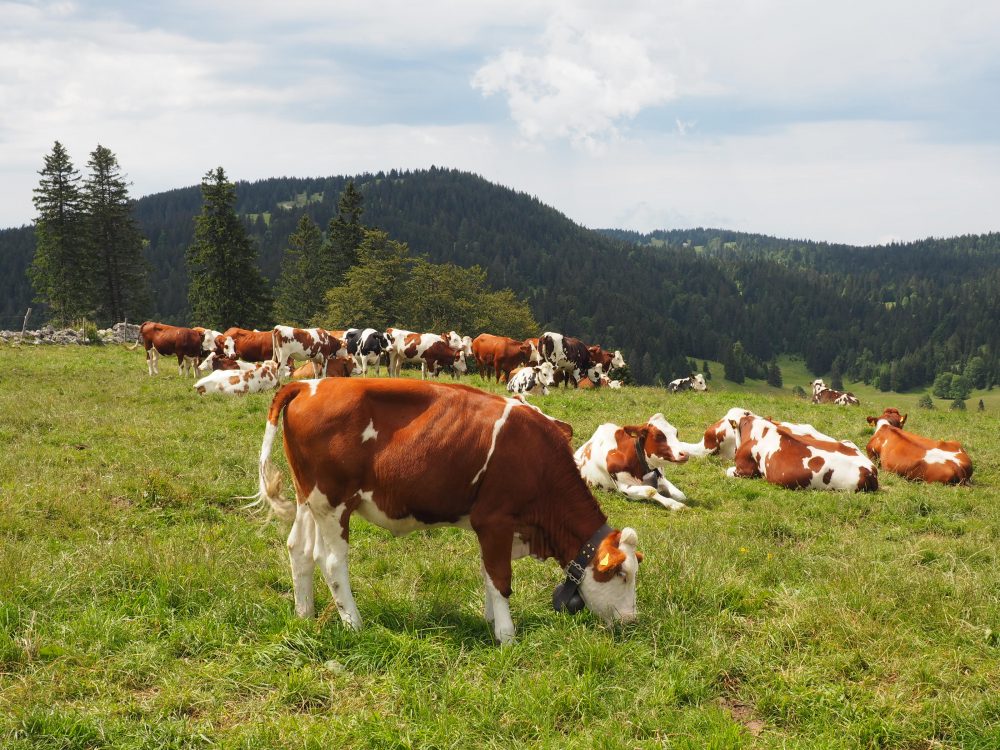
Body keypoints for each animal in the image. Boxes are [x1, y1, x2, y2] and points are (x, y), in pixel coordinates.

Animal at [250, 382, 640, 648]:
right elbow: (501, 578)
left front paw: (490, 620)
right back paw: (354, 624)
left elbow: (487, 574)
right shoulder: (495, 520)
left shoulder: (498, 530)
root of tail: (309, 384)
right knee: (331, 562)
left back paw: (304, 614)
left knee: (299, 549)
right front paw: (507, 636)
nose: (631, 620)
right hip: (334, 503)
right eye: (620, 574)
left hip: (309, 498)